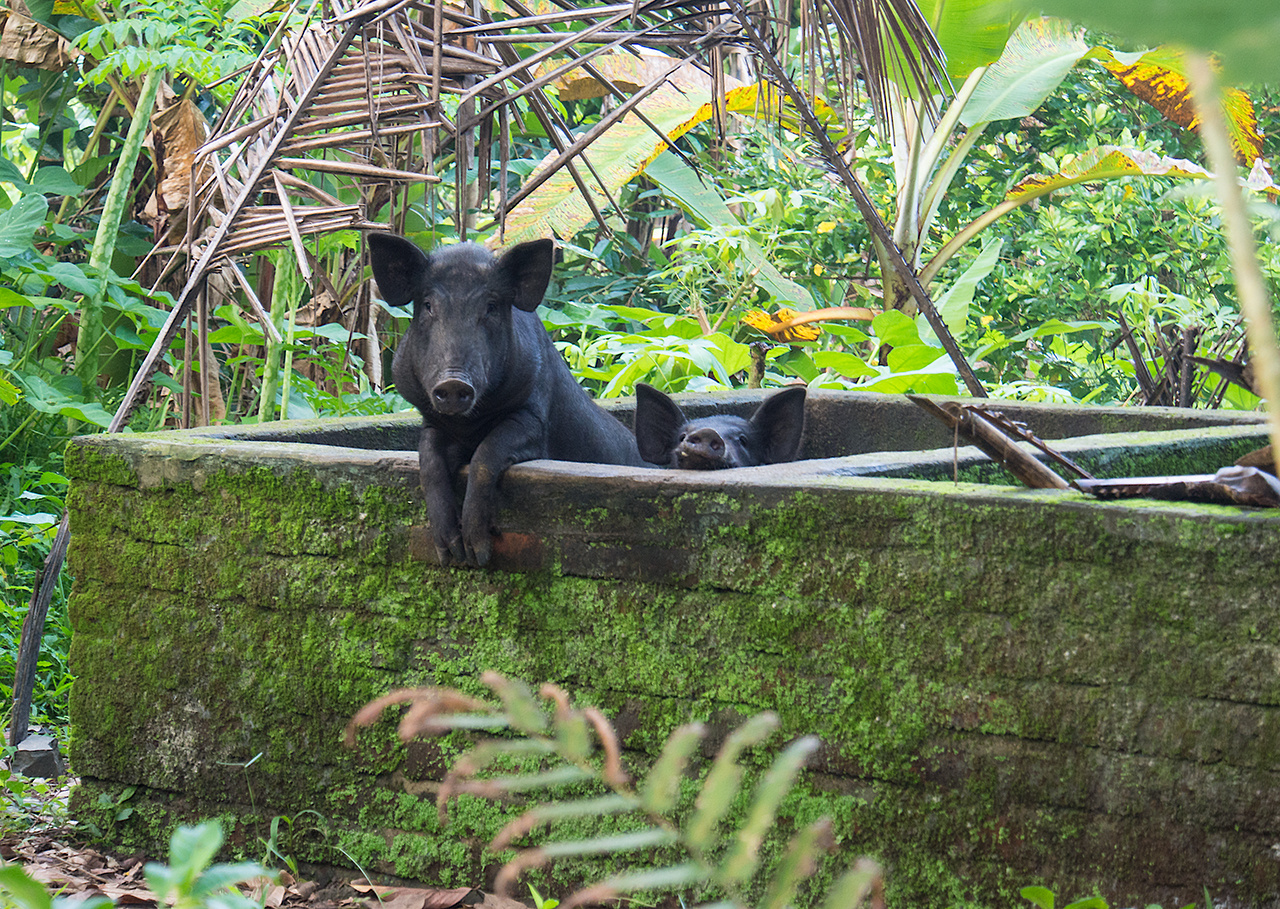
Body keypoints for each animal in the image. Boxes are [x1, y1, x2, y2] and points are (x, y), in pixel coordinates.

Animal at [373, 231, 645, 565]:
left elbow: (487, 453)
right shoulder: (432, 422)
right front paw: (450, 553)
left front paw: (478, 554)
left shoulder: (534, 419)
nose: (453, 382)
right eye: (427, 305)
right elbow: (430, 462)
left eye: (491, 306)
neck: (469, 426)